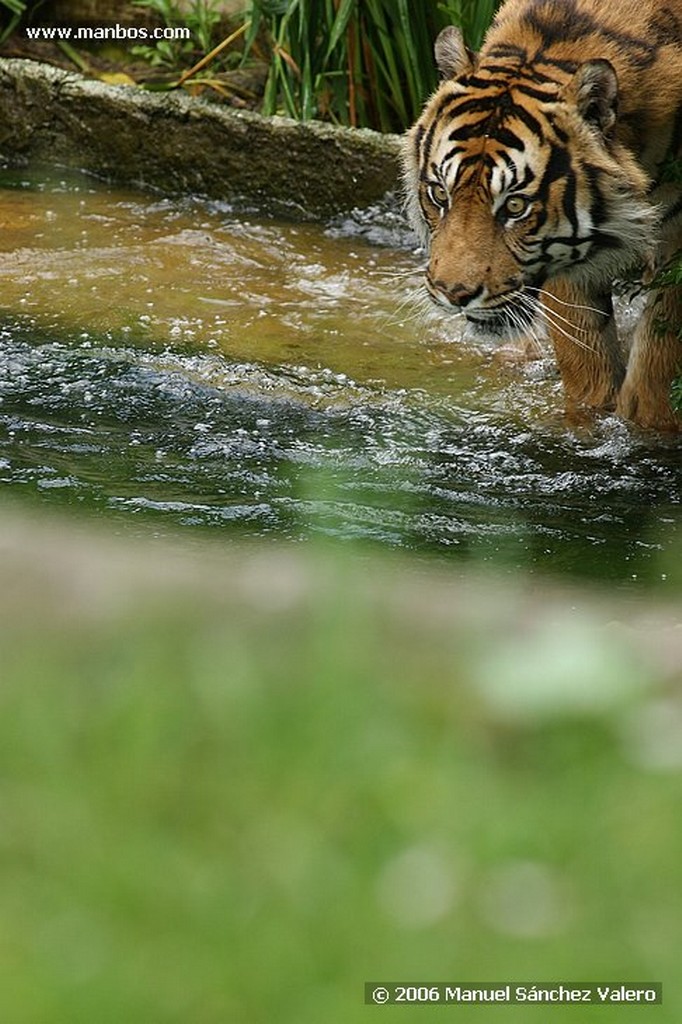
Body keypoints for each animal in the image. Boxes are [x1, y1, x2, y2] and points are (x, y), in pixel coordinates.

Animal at [401, 0, 679, 430]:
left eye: (515, 206)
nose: (454, 294)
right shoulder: (571, 262)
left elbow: (659, 367)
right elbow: (588, 364)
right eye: (439, 194)